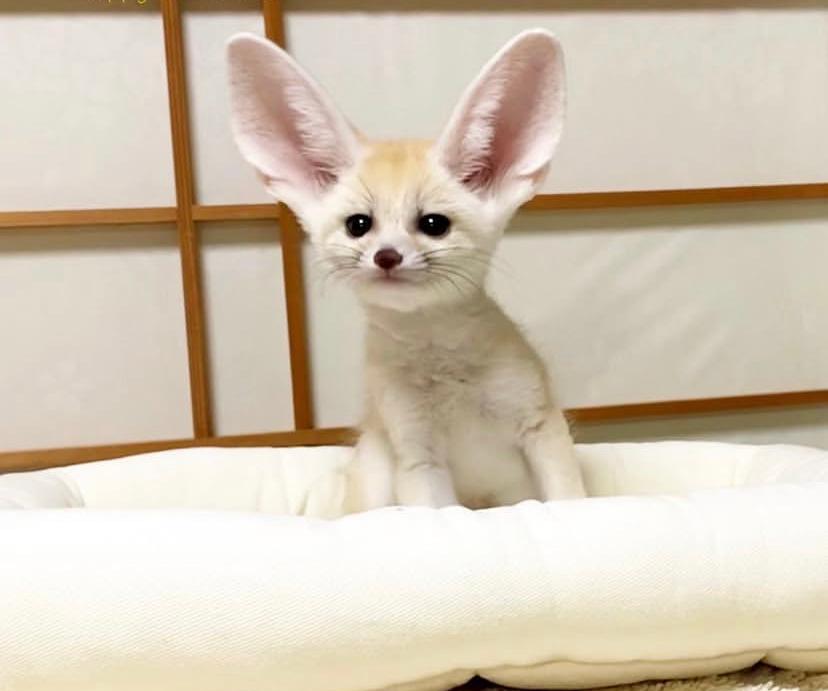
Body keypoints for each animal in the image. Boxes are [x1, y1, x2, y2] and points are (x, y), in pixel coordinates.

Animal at [227, 29, 586, 511]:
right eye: (358, 225)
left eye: (434, 224)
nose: (387, 256)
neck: (443, 363)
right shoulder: (417, 453)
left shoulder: (541, 424)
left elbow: (569, 500)